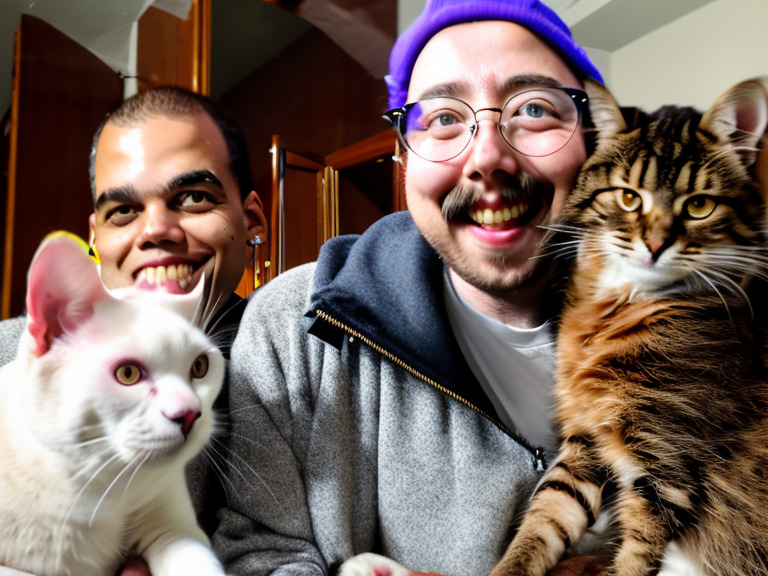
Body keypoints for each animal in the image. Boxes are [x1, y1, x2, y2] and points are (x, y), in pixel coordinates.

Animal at [492, 77, 768, 576]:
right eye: (628, 197)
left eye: (699, 206)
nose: (655, 245)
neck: (610, 313)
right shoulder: (583, 444)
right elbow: (542, 520)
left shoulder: (665, 467)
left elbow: (634, 559)